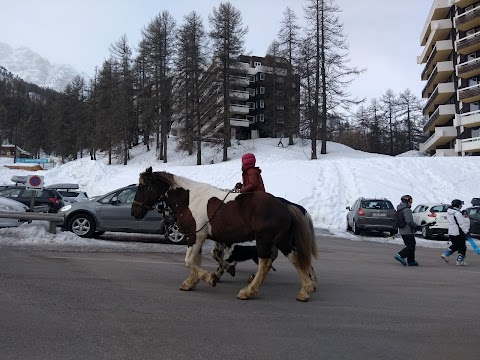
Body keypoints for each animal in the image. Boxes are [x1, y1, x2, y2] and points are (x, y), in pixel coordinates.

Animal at [131, 167, 318, 302]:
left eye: (143, 187)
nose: (134, 212)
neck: (189, 199)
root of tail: (285, 205)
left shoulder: (196, 236)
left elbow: (189, 261)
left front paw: (210, 278)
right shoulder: (200, 237)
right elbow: (197, 261)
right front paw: (192, 282)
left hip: (268, 241)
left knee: (270, 263)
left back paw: (251, 292)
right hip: (278, 241)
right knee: (293, 259)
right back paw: (306, 289)